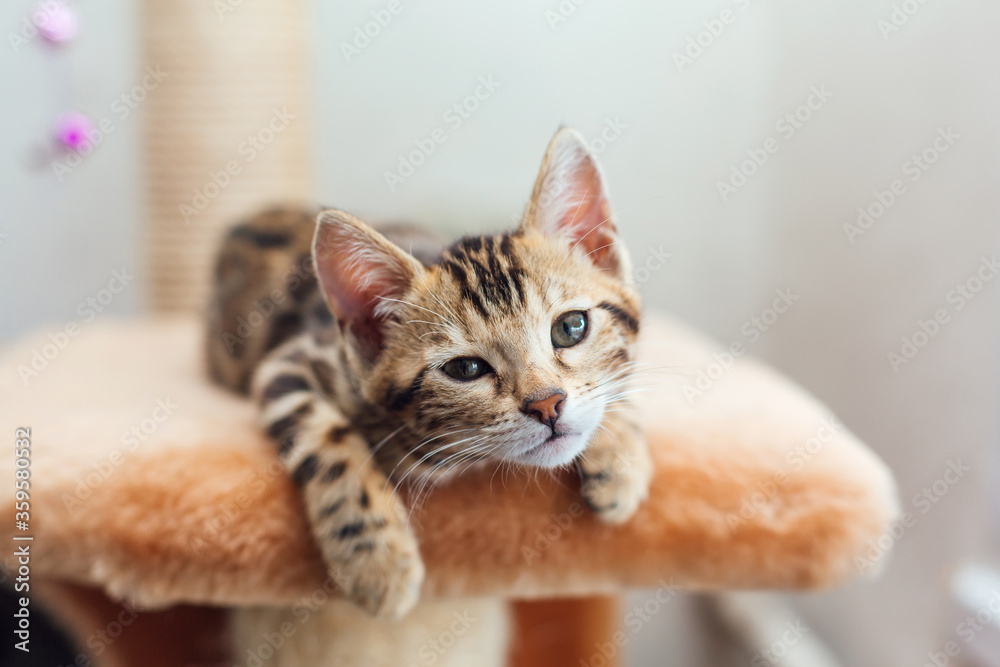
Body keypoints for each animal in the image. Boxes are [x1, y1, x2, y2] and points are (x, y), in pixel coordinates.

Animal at [207, 128, 652, 620]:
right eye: (466, 368)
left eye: (570, 327)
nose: (547, 404)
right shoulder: (289, 362)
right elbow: (328, 438)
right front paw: (377, 560)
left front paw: (620, 457)